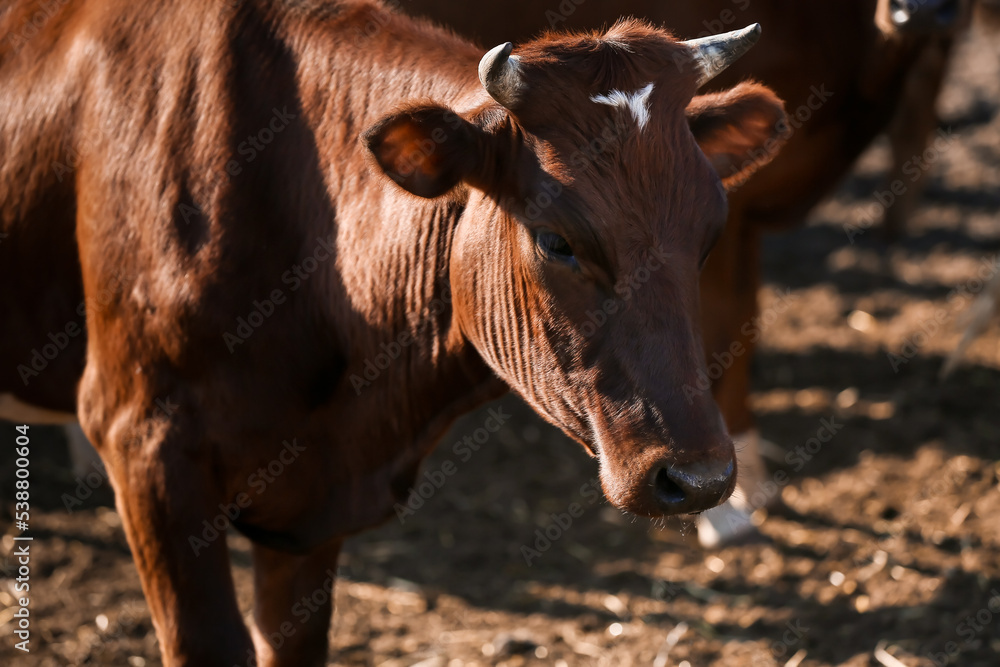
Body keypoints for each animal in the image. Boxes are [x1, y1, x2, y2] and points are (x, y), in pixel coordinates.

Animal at [404, 0, 968, 544]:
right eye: (554, 241)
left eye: (706, 230)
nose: (920, 9)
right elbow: (725, 331)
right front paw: (731, 513)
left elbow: (742, 323)